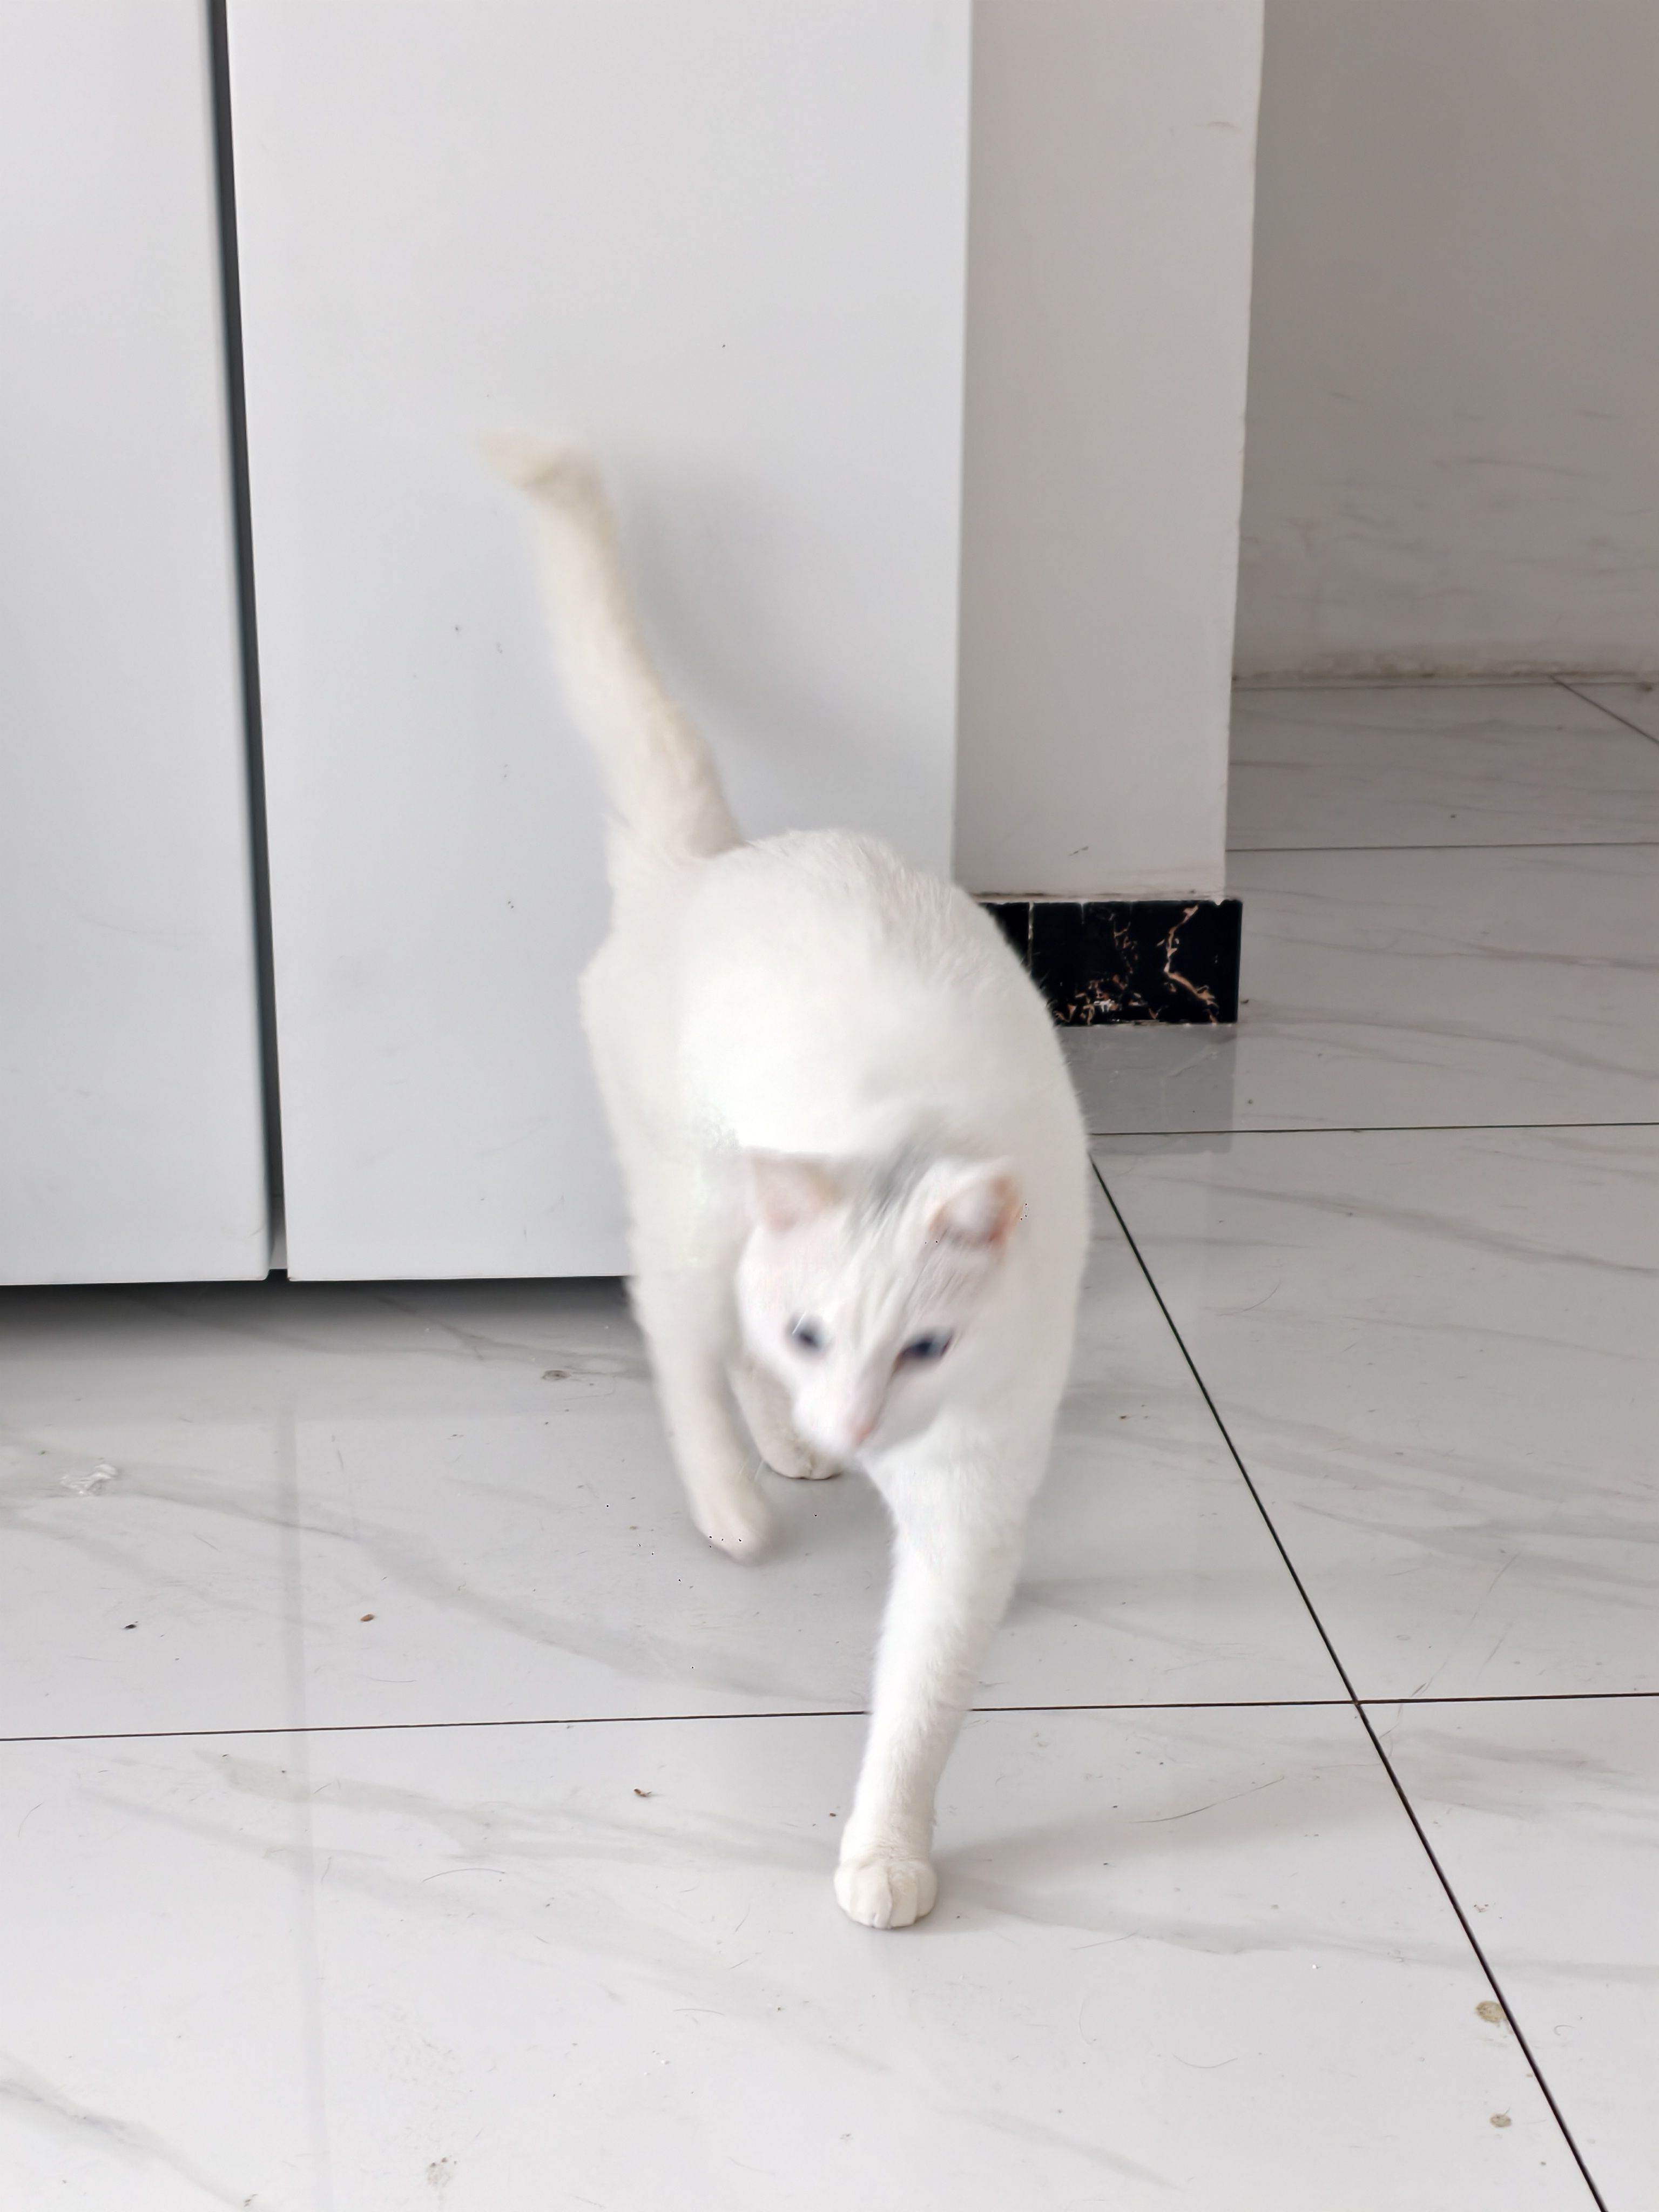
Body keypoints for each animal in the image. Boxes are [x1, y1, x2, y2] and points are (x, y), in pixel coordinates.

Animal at [488, 437, 1089, 1928]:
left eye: (924, 1347)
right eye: (830, 1333)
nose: (856, 1416)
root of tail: (708, 862)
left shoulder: (973, 1486)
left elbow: (923, 1688)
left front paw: (888, 1844)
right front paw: (885, 1861)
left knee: (717, 1343)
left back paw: (786, 1446)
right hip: (695, 1201)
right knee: (671, 1323)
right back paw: (735, 1498)